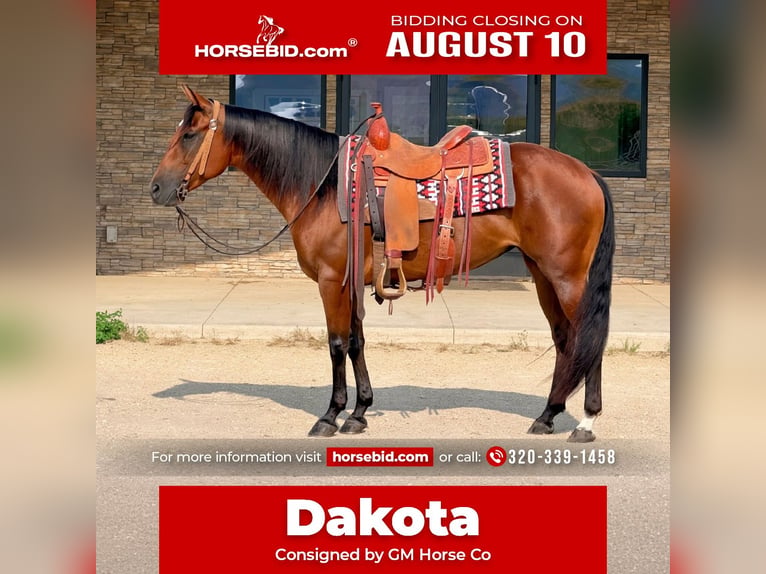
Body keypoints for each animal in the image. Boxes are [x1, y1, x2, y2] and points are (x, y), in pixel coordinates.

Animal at [149, 85, 615, 442]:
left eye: (189, 135)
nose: (156, 188)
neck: (322, 184)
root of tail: (587, 173)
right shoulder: (352, 281)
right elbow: (357, 341)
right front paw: (359, 413)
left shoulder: (331, 281)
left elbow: (337, 344)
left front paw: (330, 416)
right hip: (543, 276)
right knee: (566, 341)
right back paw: (548, 416)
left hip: (567, 279)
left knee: (589, 341)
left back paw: (586, 422)